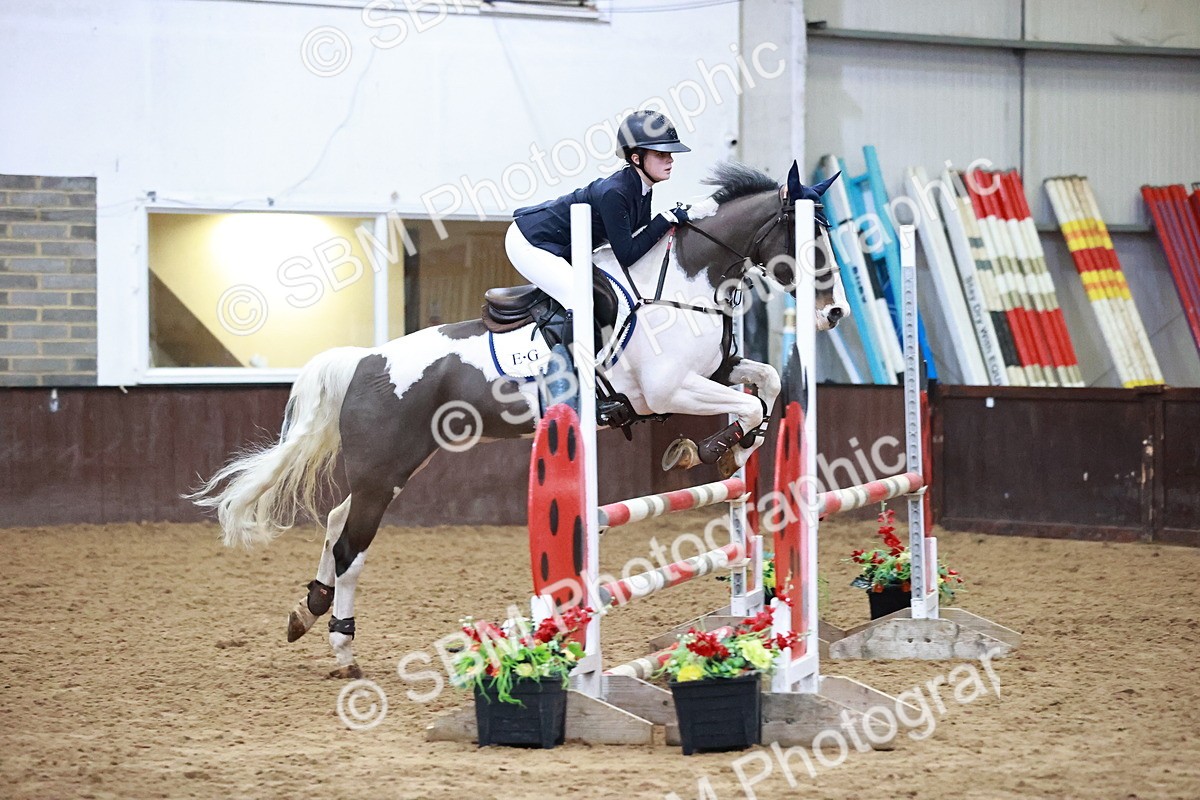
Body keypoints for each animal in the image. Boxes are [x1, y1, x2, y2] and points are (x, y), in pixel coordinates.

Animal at [191, 161, 847, 678]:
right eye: (808, 237)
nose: (834, 314)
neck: (683, 287)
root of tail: (366, 360)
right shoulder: (668, 389)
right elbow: (750, 402)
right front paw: (708, 448)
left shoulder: (714, 373)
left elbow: (764, 386)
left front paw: (735, 445)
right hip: (383, 470)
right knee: (353, 543)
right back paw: (342, 646)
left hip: (394, 467)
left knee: (335, 522)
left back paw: (309, 608)